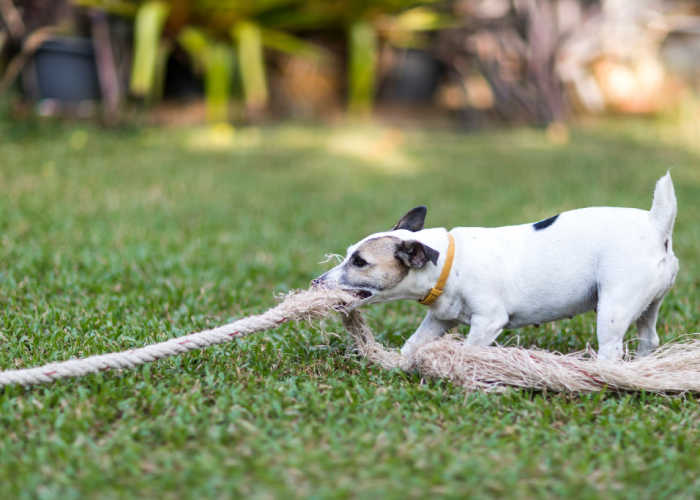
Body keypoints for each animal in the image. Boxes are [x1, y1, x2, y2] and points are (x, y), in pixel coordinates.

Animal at [314, 172, 680, 360]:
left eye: (359, 262)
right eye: (348, 254)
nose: (317, 282)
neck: (449, 260)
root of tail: (655, 225)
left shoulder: (489, 322)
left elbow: (469, 350)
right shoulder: (439, 320)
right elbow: (413, 344)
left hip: (612, 310)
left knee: (611, 348)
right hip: (647, 307)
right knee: (649, 339)